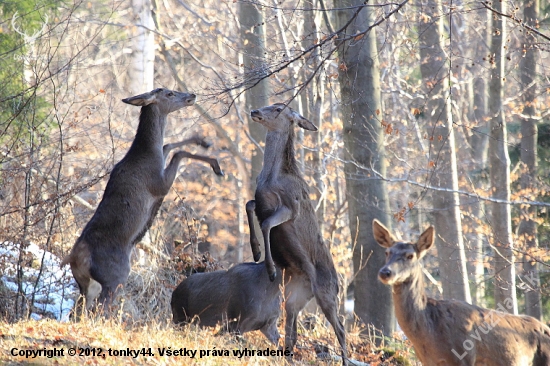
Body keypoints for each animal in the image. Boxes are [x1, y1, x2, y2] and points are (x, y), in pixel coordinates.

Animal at [61, 88, 223, 312]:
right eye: (170, 93)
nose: (192, 95)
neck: (147, 154)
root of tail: (75, 258)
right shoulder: (158, 184)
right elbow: (178, 153)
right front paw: (216, 165)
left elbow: (168, 144)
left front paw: (203, 141)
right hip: (115, 276)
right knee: (101, 308)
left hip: (85, 283)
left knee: (77, 310)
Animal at [247, 103, 348, 364]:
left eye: (278, 108)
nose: (254, 111)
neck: (271, 178)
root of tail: (339, 283)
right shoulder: (261, 201)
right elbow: (249, 205)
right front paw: (255, 251)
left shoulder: (291, 207)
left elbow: (267, 224)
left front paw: (270, 269)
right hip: (297, 293)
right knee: (293, 325)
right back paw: (288, 353)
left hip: (326, 292)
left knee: (341, 327)